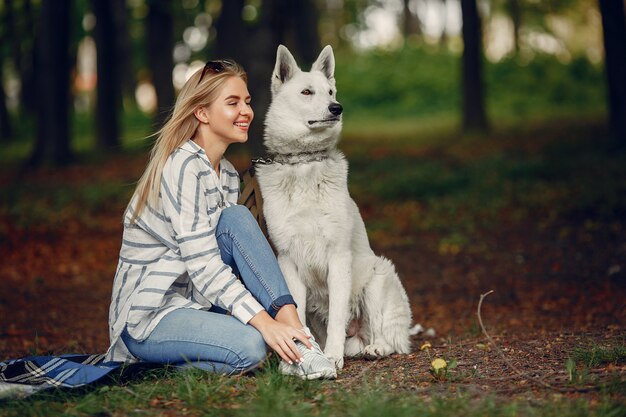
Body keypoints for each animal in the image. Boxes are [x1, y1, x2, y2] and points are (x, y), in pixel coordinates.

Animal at [254, 44, 410, 368]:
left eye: (330, 91)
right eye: (307, 92)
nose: (337, 108)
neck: (304, 161)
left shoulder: (338, 257)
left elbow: (338, 315)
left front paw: (333, 357)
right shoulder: (288, 259)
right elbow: (296, 317)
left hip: (377, 277)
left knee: (389, 338)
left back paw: (375, 348)